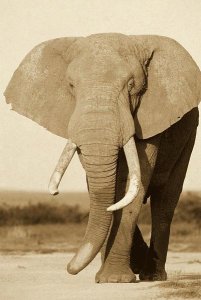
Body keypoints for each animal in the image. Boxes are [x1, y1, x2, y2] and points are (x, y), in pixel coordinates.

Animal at [4, 33, 201, 284]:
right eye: (71, 86)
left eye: (132, 86)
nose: (69, 268)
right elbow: (104, 187)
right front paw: (108, 275)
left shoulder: (148, 118)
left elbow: (132, 184)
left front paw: (114, 279)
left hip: (189, 137)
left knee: (164, 203)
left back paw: (152, 275)